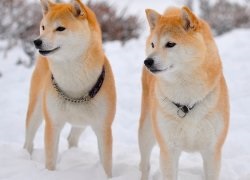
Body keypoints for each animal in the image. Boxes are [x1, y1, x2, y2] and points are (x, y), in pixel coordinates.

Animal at [23, 0, 116, 177]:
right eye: (43, 27)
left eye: (60, 28)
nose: (37, 41)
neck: (74, 86)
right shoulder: (53, 124)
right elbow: (50, 161)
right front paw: (49, 174)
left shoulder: (103, 127)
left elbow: (107, 165)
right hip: (36, 111)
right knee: (28, 142)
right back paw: (25, 158)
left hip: (84, 122)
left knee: (72, 138)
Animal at [138, 6, 229, 179]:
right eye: (153, 44)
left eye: (170, 44)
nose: (147, 61)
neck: (187, 101)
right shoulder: (169, 150)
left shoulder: (212, 151)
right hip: (146, 133)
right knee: (145, 166)